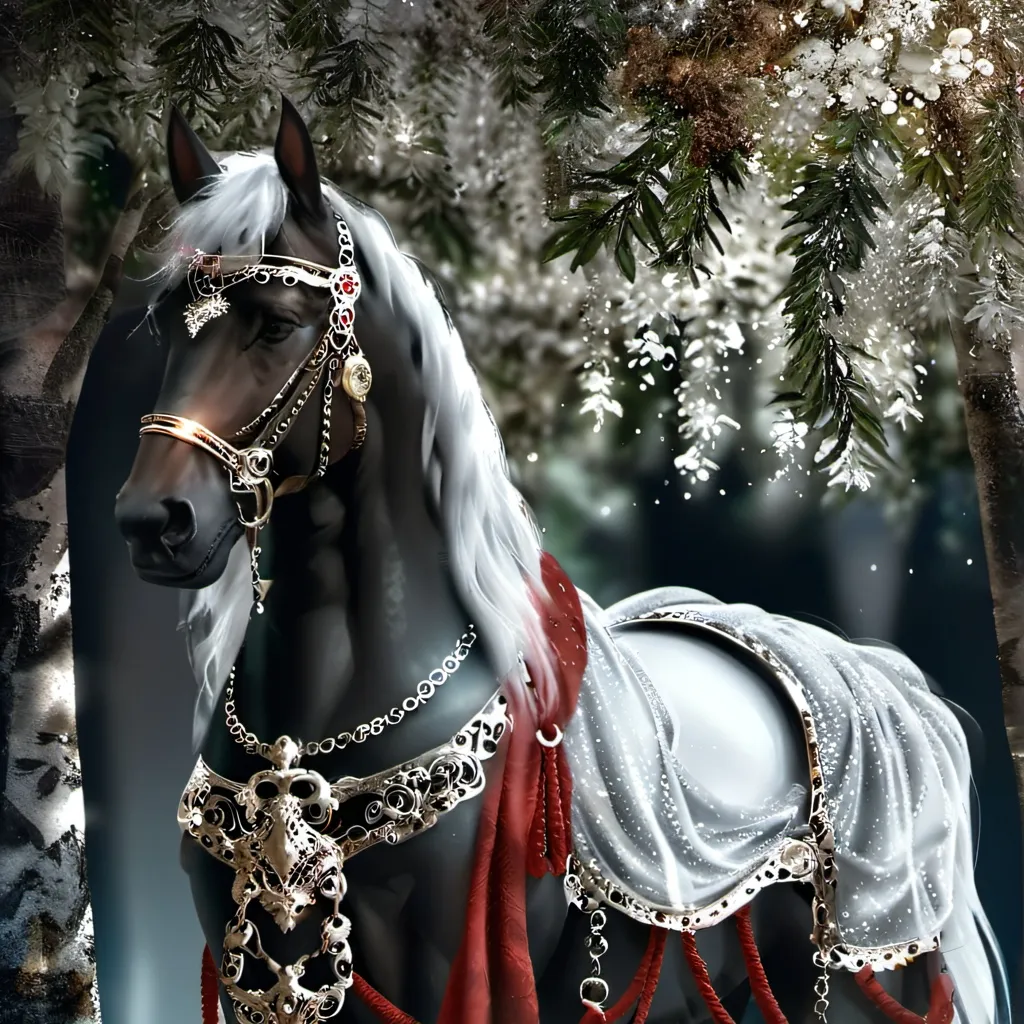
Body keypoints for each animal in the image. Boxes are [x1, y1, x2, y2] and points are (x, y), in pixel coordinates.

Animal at [112, 97, 1011, 1024]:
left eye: (280, 325)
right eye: (165, 324)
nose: (154, 522)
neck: (313, 739)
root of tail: (883, 680)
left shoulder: (446, 977)